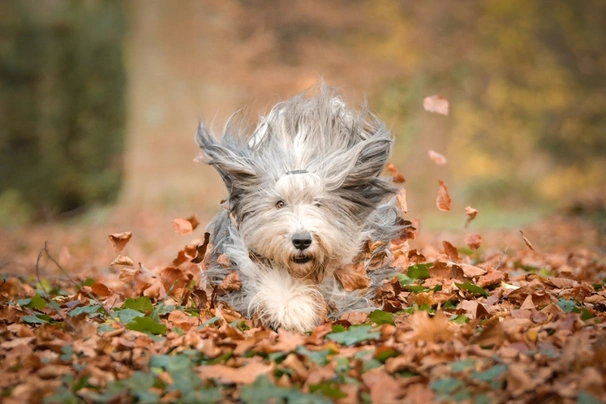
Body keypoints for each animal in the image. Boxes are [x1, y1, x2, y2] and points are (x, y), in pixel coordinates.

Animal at [198, 84, 408, 332]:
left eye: (318, 203)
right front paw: (294, 310)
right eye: (279, 203)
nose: (301, 241)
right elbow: (272, 280)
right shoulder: (240, 256)